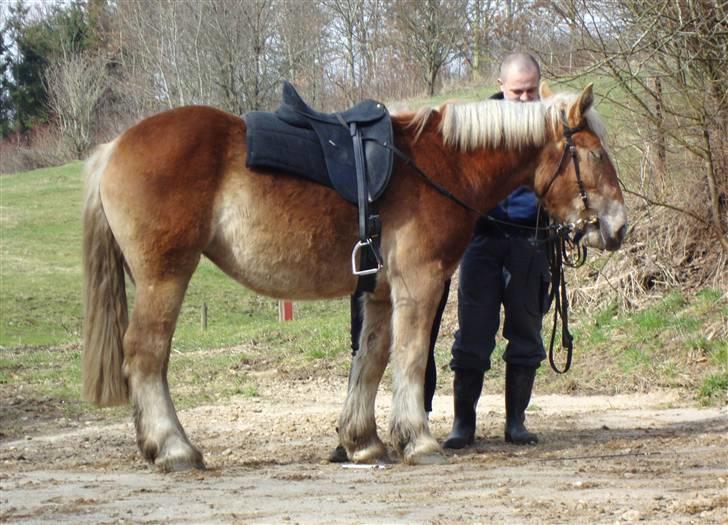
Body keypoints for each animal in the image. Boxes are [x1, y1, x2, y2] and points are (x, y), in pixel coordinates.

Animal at [79, 83, 624, 470]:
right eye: (596, 154)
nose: (617, 227)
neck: (441, 166)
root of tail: (114, 146)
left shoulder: (380, 292)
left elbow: (372, 358)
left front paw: (361, 441)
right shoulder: (420, 284)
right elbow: (410, 358)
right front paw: (418, 439)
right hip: (165, 276)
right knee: (146, 355)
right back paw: (174, 448)